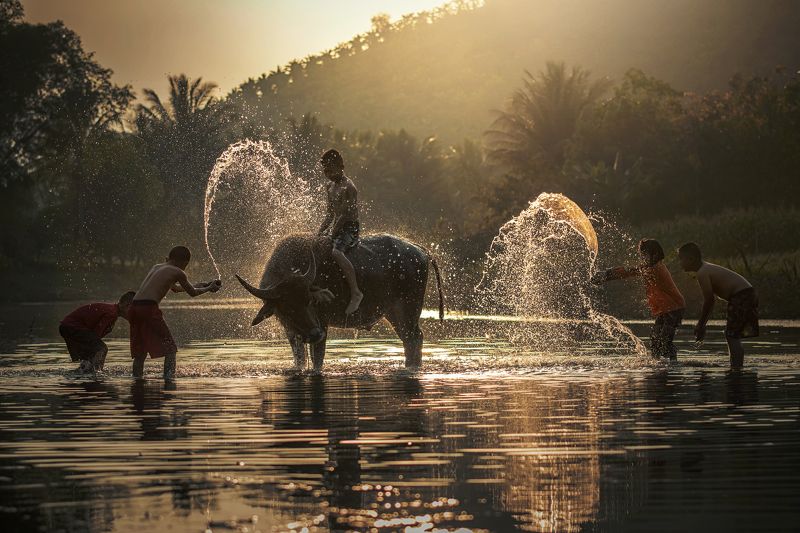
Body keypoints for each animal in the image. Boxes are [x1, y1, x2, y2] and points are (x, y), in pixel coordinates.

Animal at [236, 234, 444, 370]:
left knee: (414, 338)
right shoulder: (292, 331)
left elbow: (317, 360)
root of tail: (419, 250)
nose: (315, 333)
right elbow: (300, 359)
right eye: (287, 307)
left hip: (408, 309)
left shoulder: (322, 323)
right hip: (393, 313)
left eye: (309, 301)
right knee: (410, 340)